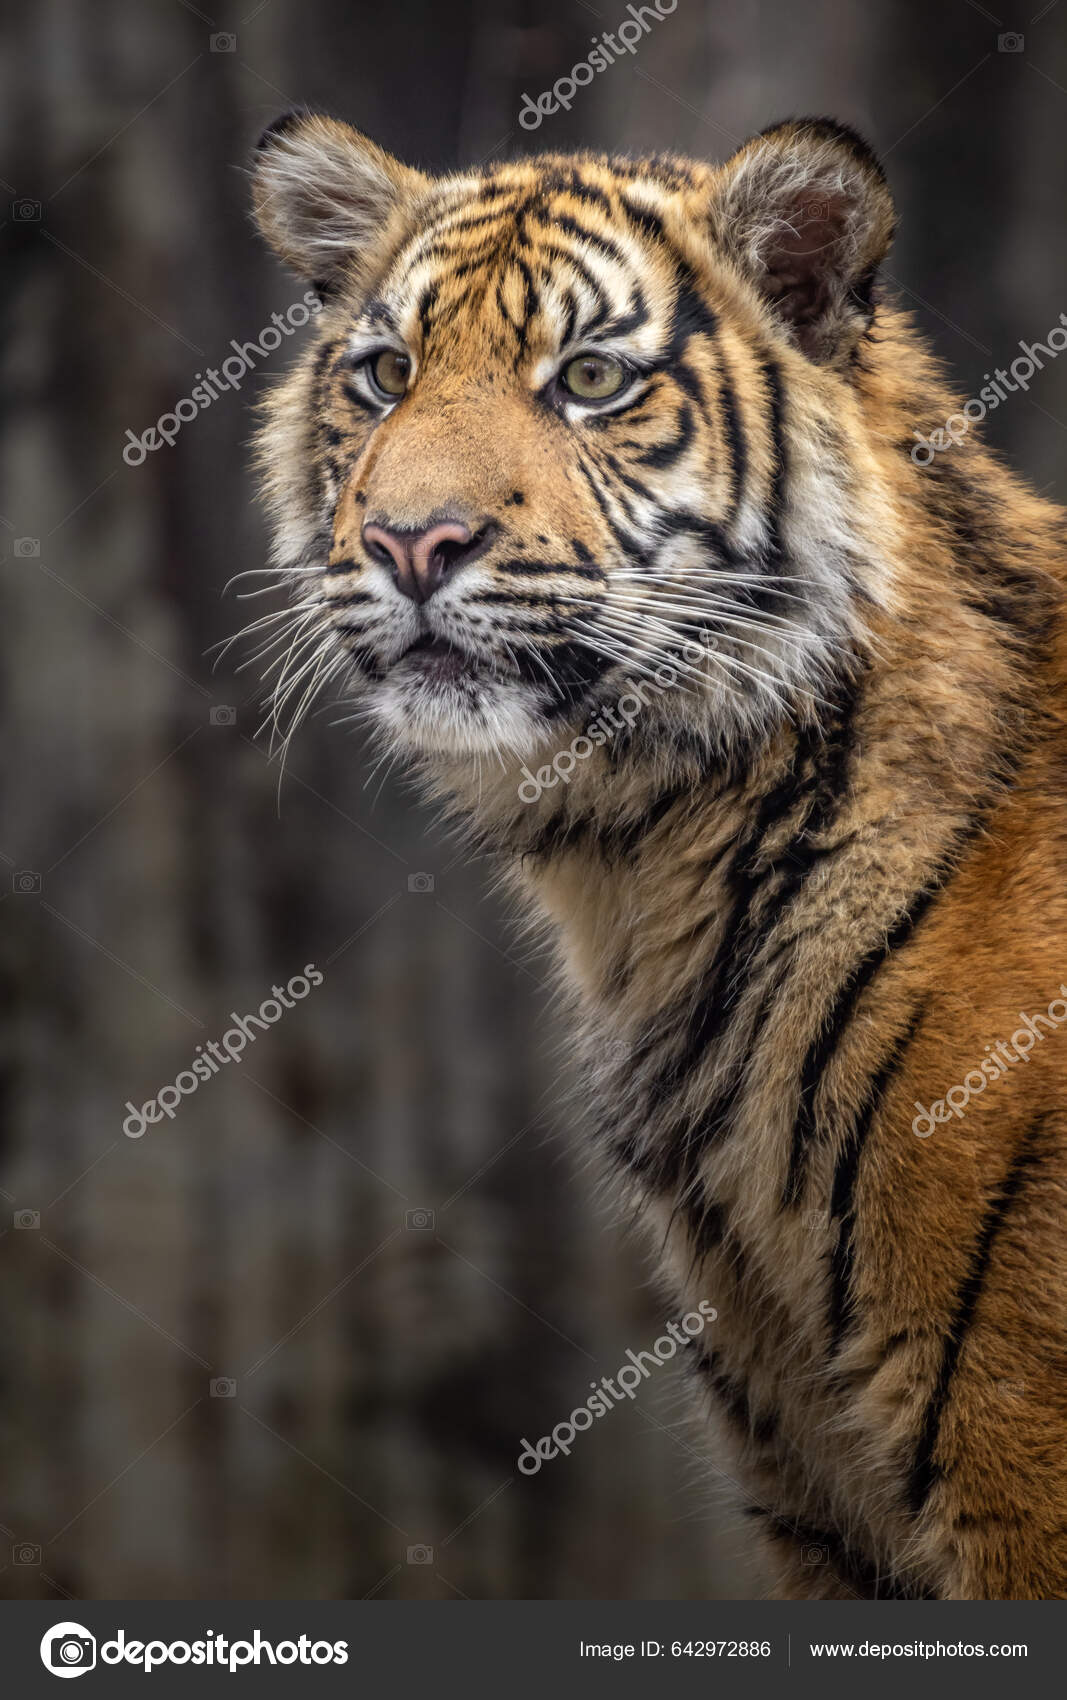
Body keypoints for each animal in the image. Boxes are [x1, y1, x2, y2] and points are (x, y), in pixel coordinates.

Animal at [248, 113, 1067, 1598]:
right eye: (387, 374)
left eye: (589, 380)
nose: (409, 541)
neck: (651, 865)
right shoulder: (815, 1486)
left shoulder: (1012, 1462)